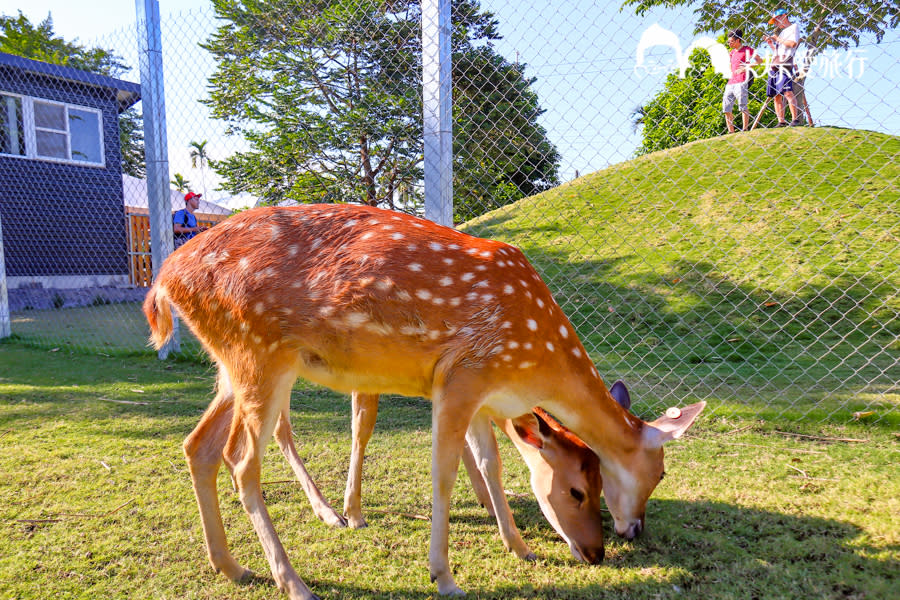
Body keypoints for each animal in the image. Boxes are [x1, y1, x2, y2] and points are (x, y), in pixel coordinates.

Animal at [142, 204, 704, 596]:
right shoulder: (462, 376)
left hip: (231, 364)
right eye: (576, 491)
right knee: (241, 460)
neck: (533, 358)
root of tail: (163, 279)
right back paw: (295, 582)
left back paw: (232, 566)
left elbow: (492, 465)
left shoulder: (481, 396)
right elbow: (444, 473)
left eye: (598, 477)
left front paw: (520, 548)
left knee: (198, 446)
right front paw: (444, 577)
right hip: (259, 354)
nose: (604, 548)